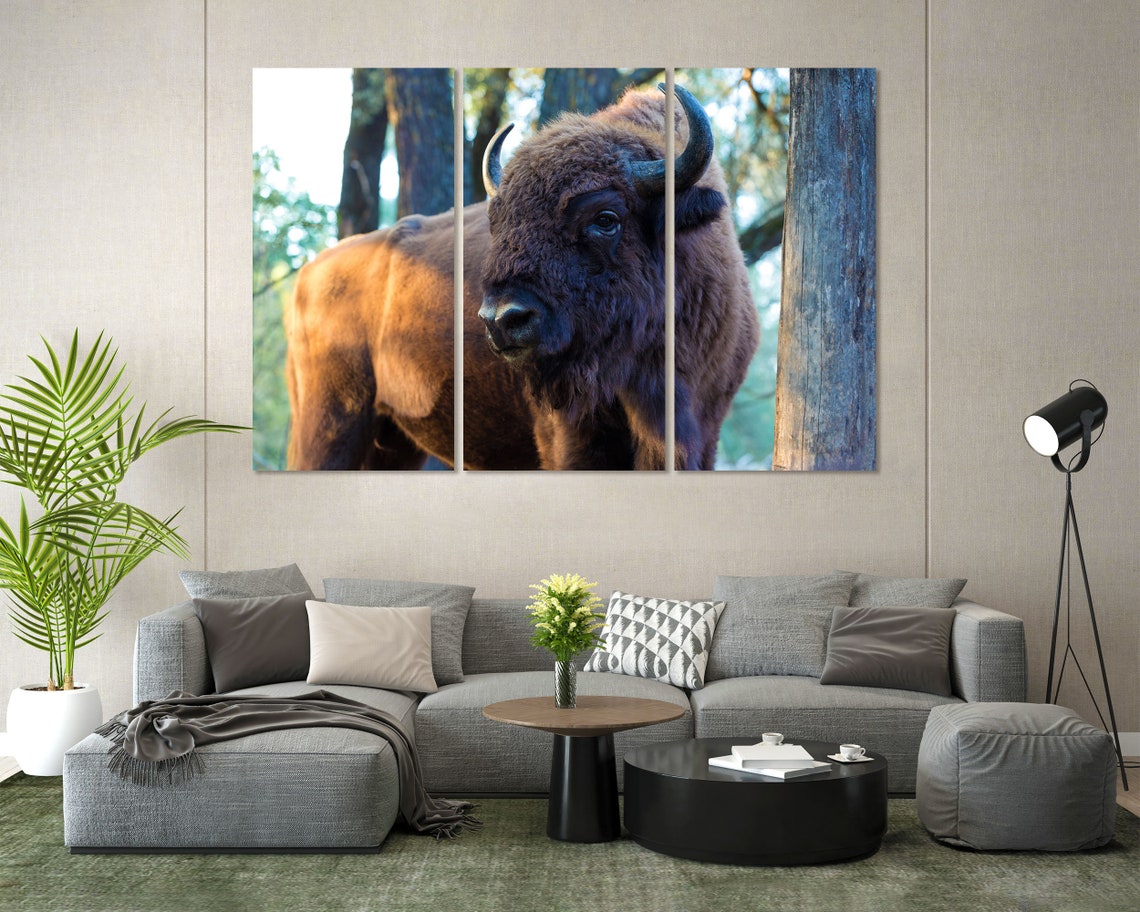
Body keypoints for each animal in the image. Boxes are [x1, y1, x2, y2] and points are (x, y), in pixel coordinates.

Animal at [285, 84, 758, 471]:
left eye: (606, 218)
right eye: (499, 224)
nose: (502, 320)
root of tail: (306, 277)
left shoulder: (701, 433)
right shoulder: (571, 440)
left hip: (393, 442)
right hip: (331, 424)